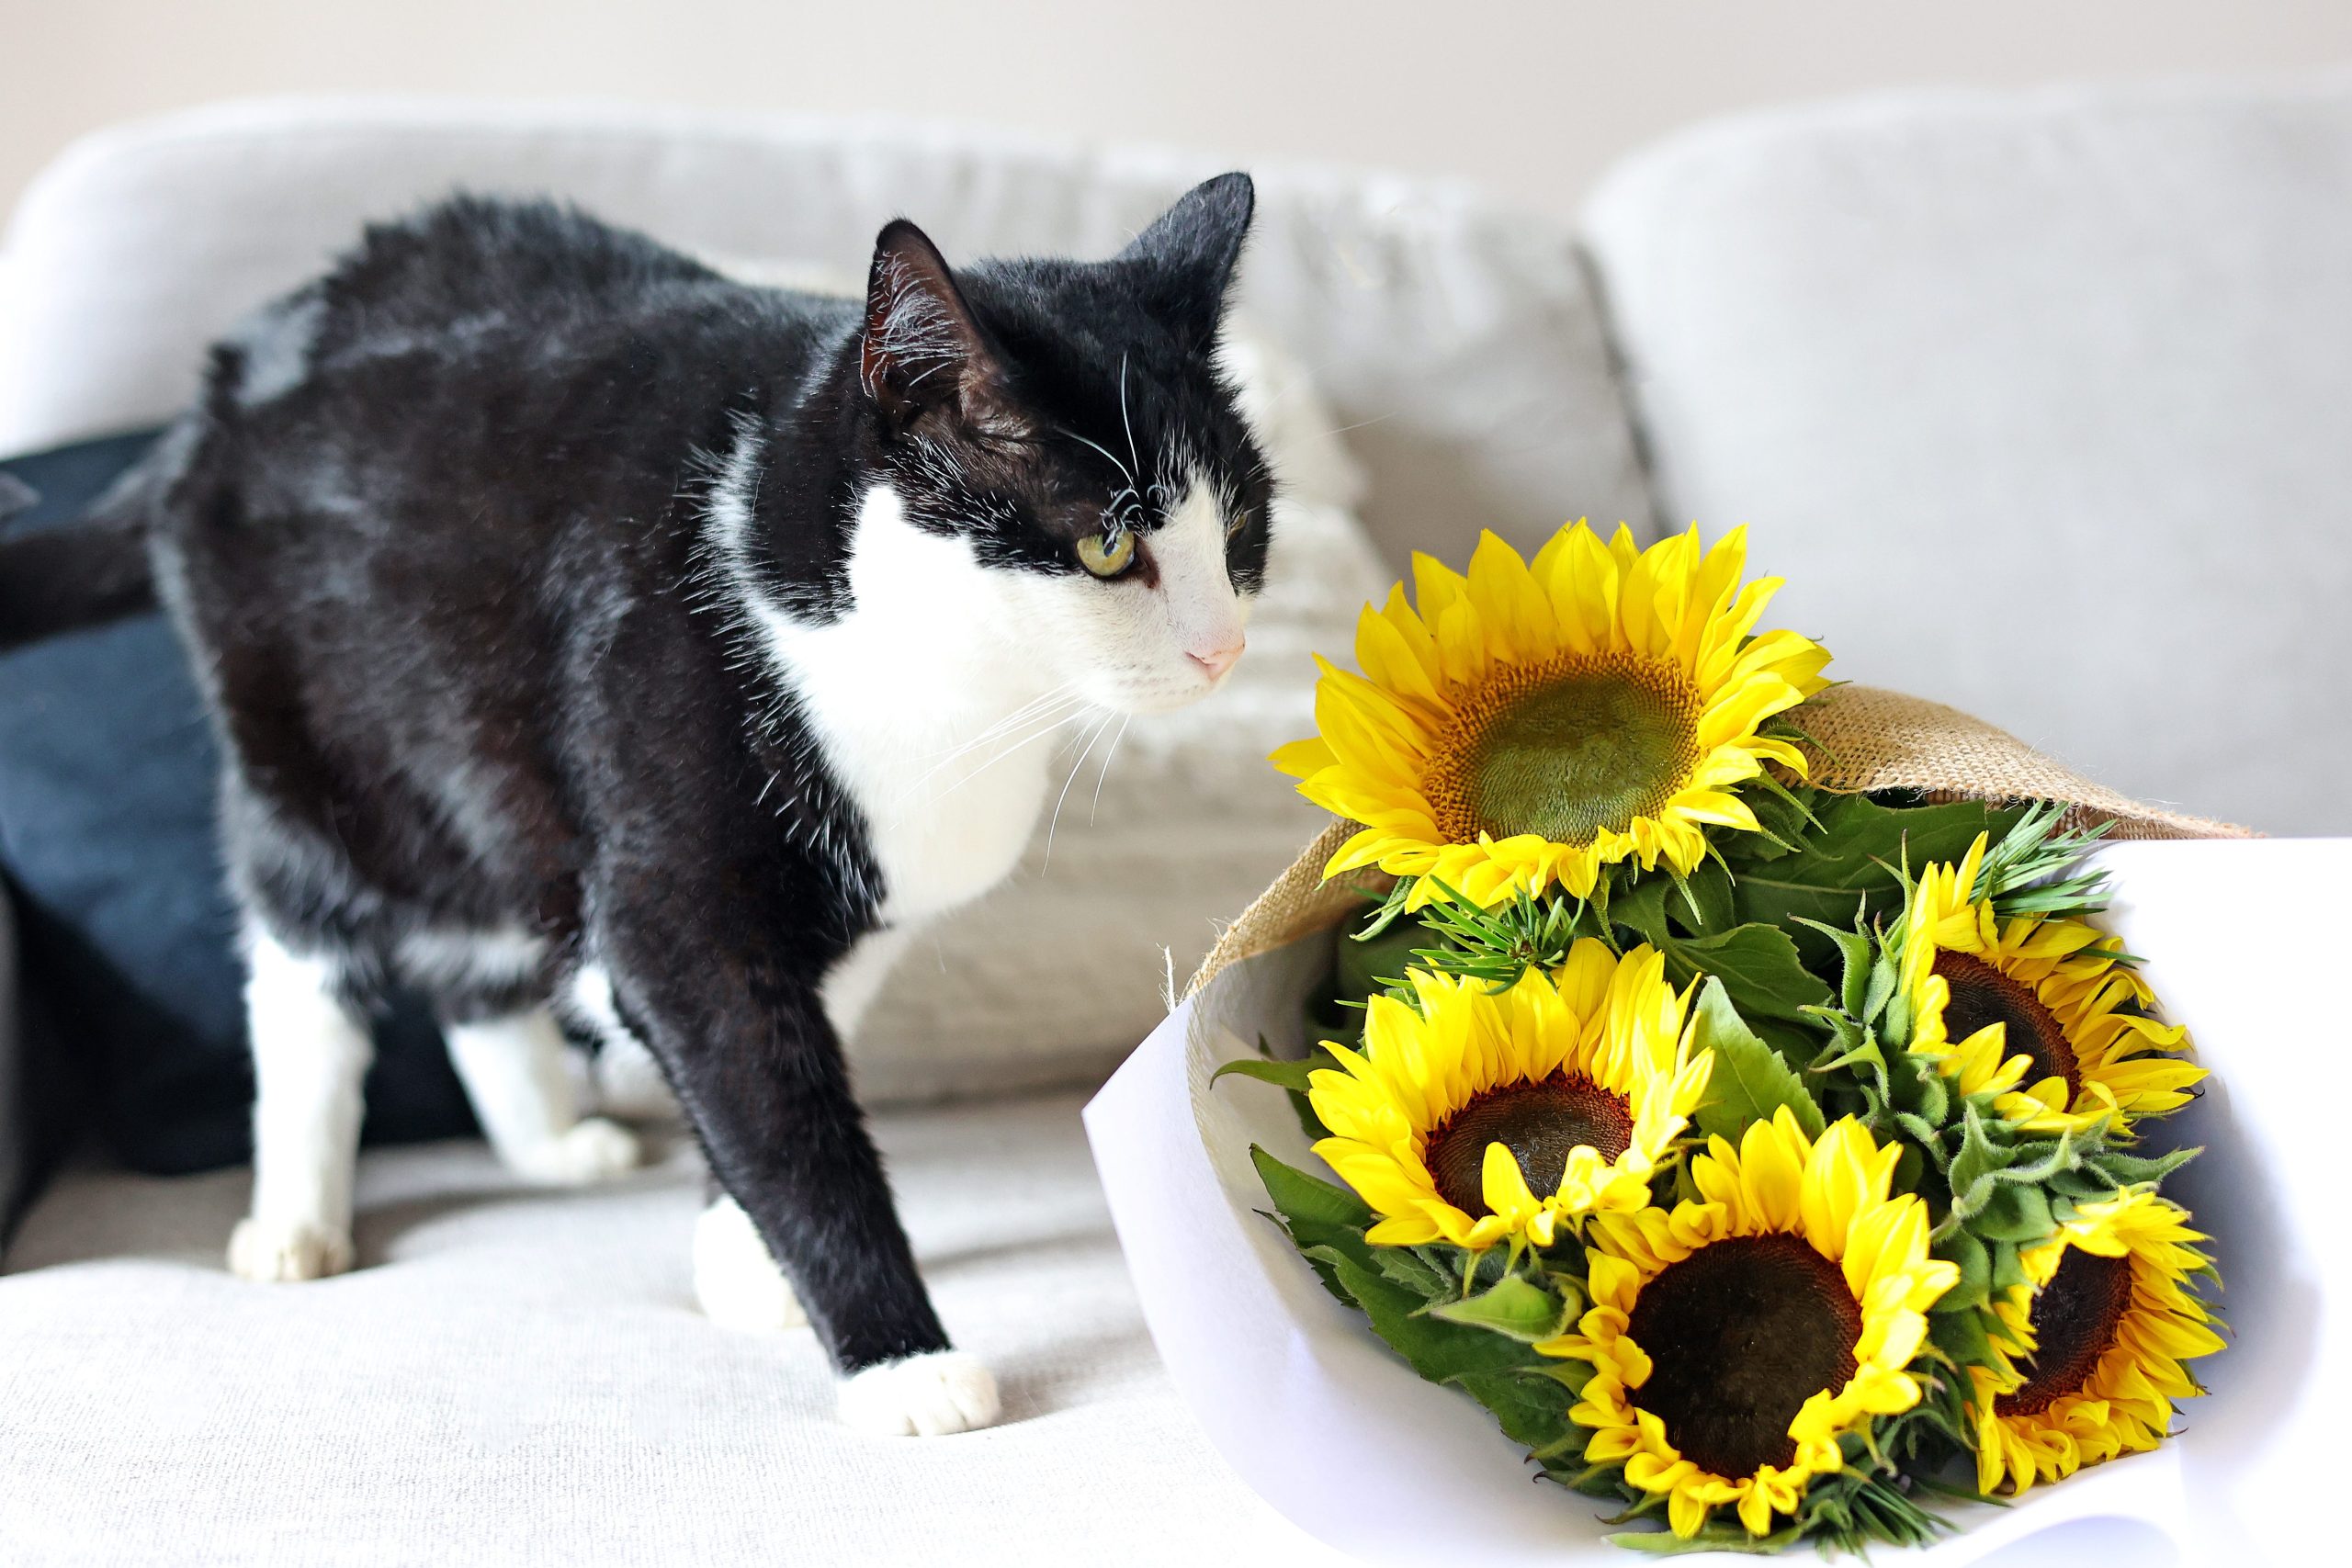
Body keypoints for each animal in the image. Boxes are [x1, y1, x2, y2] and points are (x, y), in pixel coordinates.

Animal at [9, 175, 1270, 1438]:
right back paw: (294, 1215)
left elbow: (786, 1071)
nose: (1224, 651)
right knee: (305, 951)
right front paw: (900, 1358)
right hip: (322, 756)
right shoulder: (678, 905)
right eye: (1106, 544)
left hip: (481, 757)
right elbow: (776, 1107)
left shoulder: (870, 912)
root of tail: (218, 384)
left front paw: (741, 1261)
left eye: (1240, 527)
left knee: (478, 934)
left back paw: (549, 1144)